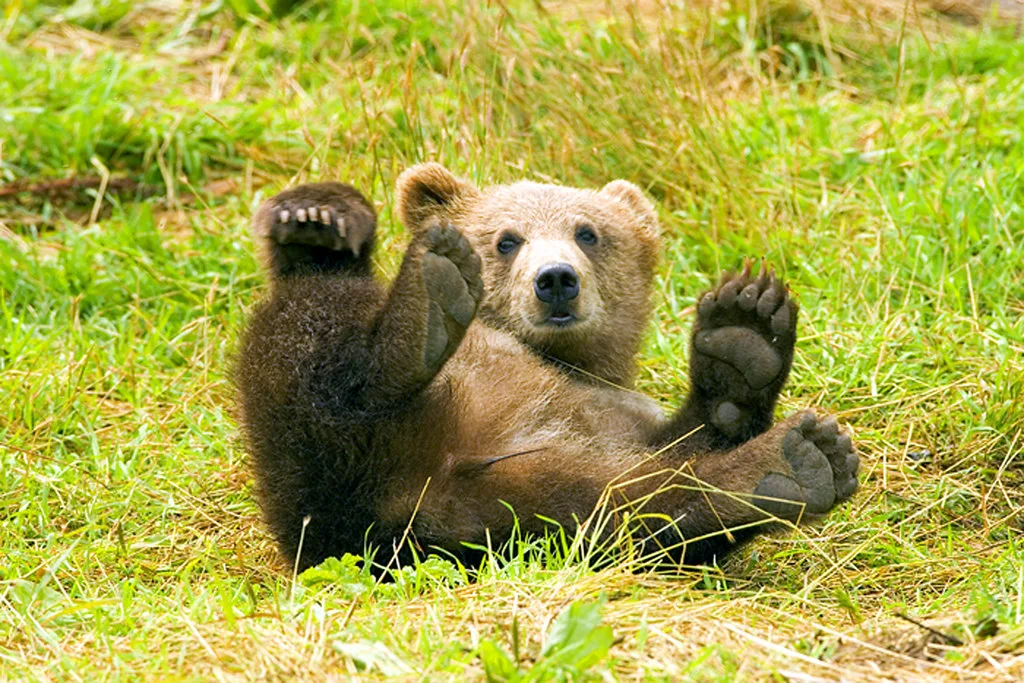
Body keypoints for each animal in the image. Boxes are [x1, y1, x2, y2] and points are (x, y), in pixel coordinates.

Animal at [235, 163, 859, 572]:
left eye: (588, 232)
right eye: (507, 239)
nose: (556, 278)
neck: (559, 359)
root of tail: (407, 498)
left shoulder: (613, 415)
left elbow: (684, 447)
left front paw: (743, 334)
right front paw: (315, 214)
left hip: (510, 511)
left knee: (629, 510)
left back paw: (790, 460)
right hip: (323, 467)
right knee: (314, 337)